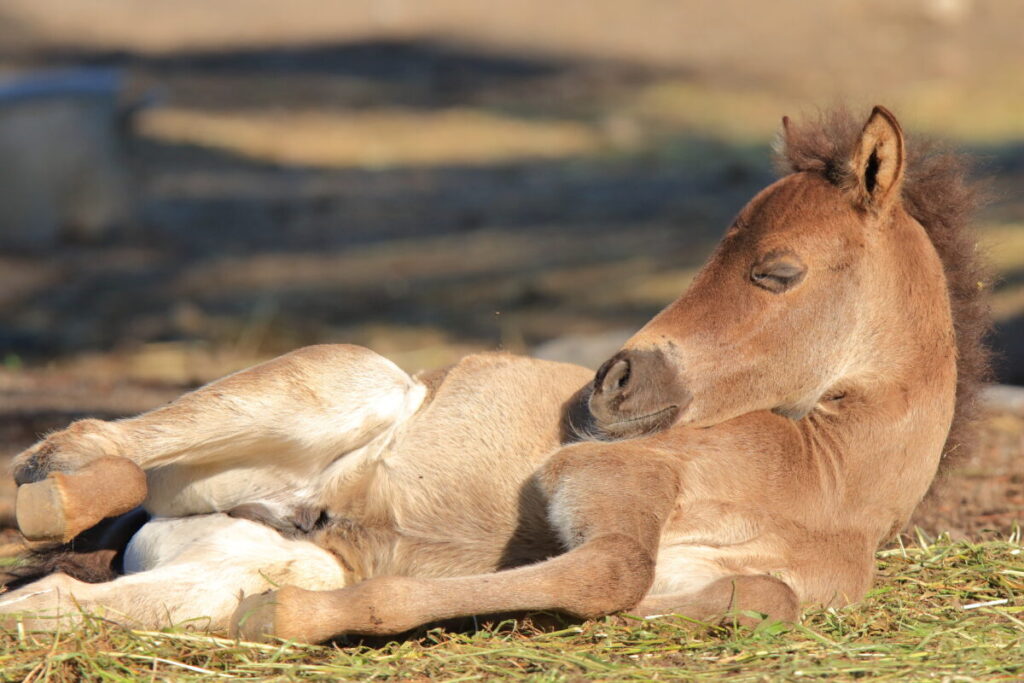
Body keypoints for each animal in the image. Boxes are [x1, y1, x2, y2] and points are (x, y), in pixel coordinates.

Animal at [0, 106, 988, 643]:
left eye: (776, 271)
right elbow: (608, 569)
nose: (610, 384)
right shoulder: (598, 477)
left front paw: (285, 618)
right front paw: (298, 623)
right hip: (349, 380)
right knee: (106, 445)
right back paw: (56, 484)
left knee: (57, 596)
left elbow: (747, 596)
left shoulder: (722, 582)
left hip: (222, 561)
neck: (822, 484)